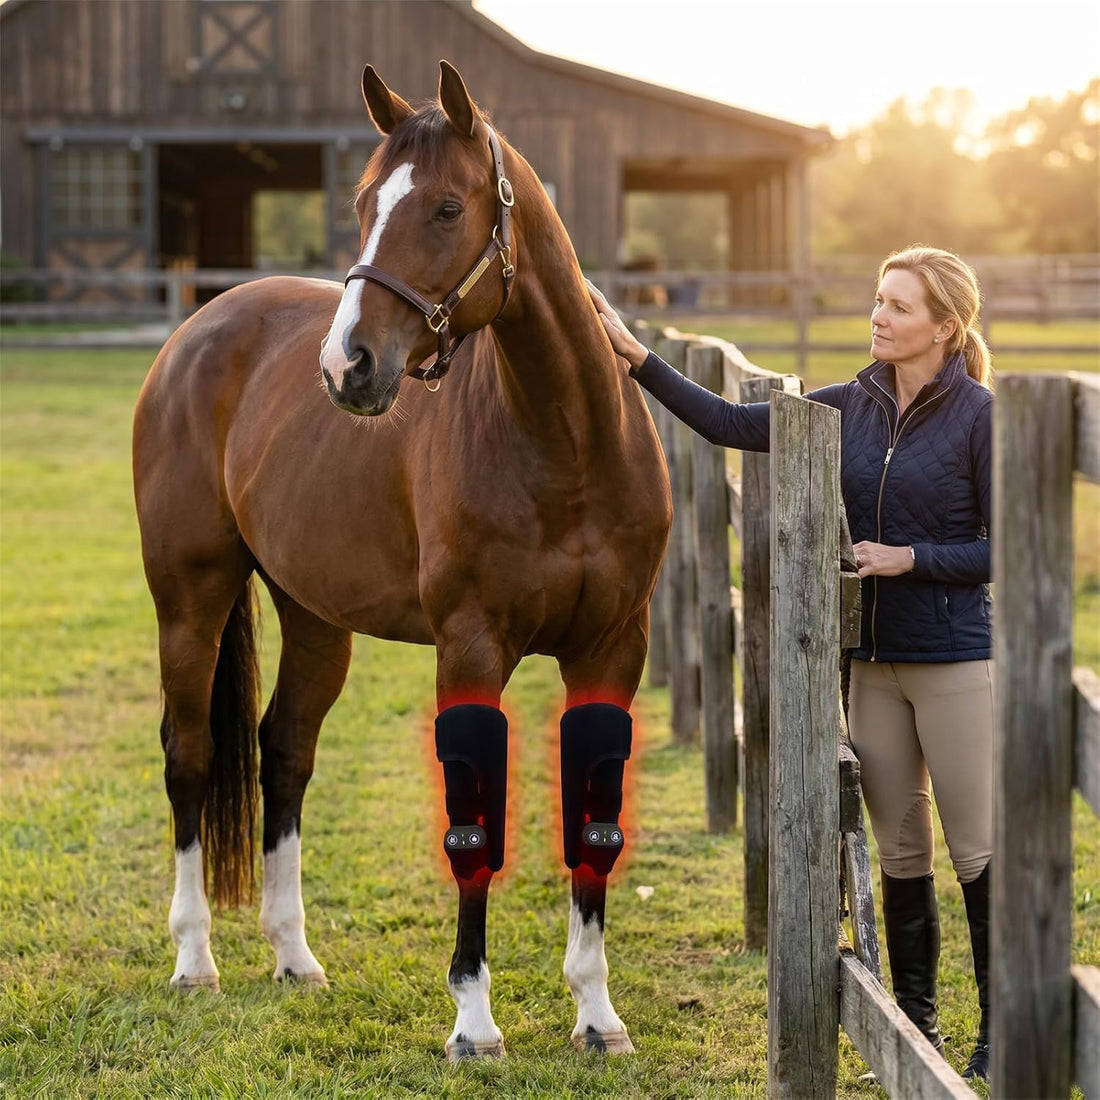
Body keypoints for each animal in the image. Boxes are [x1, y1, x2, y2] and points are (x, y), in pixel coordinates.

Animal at [132, 60, 671, 1061]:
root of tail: (200, 327)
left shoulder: (614, 649)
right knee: (190, 756)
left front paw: (597, 1014)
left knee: (283, 752)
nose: (348, 366)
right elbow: (471, 832)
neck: (567, 443)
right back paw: (194, 960)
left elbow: (595, 828)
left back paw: (294, 956)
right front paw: (474, 1022)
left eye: (449, 208)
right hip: (189, 600)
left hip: (314, 620)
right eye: (360, 202)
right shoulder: (470, 650)